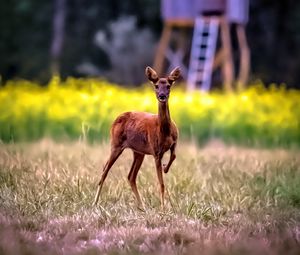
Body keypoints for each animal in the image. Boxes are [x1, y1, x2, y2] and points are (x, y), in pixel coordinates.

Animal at [92, 66, 179, 209]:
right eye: (156, 86)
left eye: (168, 85)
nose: (162, 96)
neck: (165, 131)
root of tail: (116, 119)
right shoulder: (156, 152)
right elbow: (161, 184)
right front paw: (163, 208)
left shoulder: (174, 143)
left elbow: (174, 156)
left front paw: (165, 168)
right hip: (116, 144)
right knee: (105, 171)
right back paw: (95, 203)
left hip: (138, 152)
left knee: (130, 176)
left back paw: (142, 207)